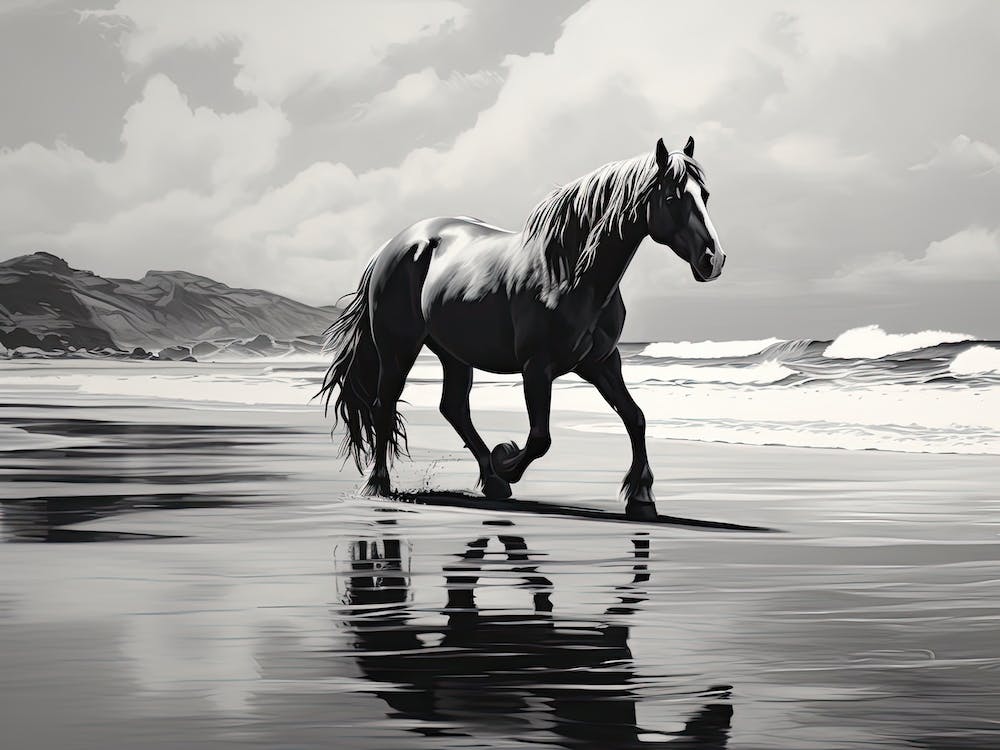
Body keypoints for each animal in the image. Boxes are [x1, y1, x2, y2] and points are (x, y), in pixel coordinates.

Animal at [319, 136, 726, 521]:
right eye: (672, 197)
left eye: (704, 195)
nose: (713, 260)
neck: (570, 273)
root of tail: (395, 245)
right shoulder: (537, 366)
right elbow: (541, 438)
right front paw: (506, 460)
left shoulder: (601, 362)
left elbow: (635, 417)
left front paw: (640, 496)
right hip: (397, 348)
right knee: (384, 404)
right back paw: (380, 484)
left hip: (454, 352)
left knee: (453, 407)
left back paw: (491, 481)